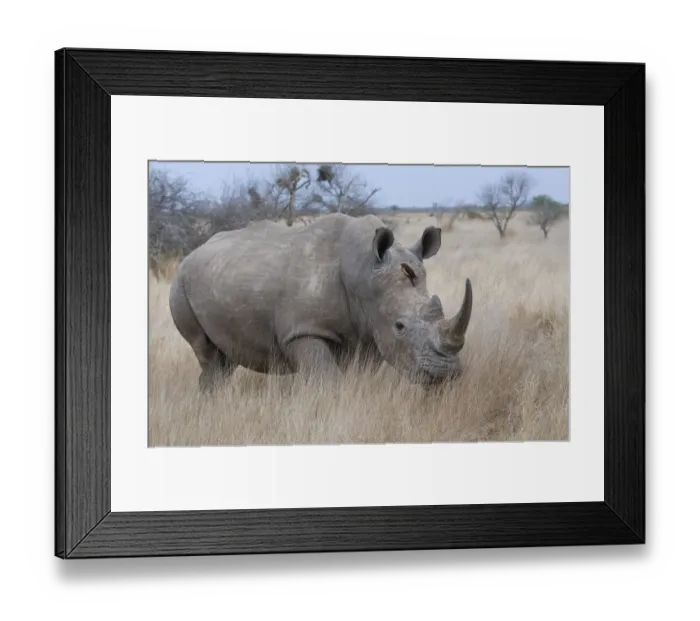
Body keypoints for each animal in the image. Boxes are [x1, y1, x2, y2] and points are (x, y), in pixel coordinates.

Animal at [169, 213, 473, 391]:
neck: (363, 269)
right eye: (400, 326)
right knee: (207, 353)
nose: (446, 374)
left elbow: (360, 378)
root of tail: (191, 254)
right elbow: (328, 380)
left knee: (226, 357)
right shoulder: (303, 329)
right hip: (180, 284)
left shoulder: (370, 331)